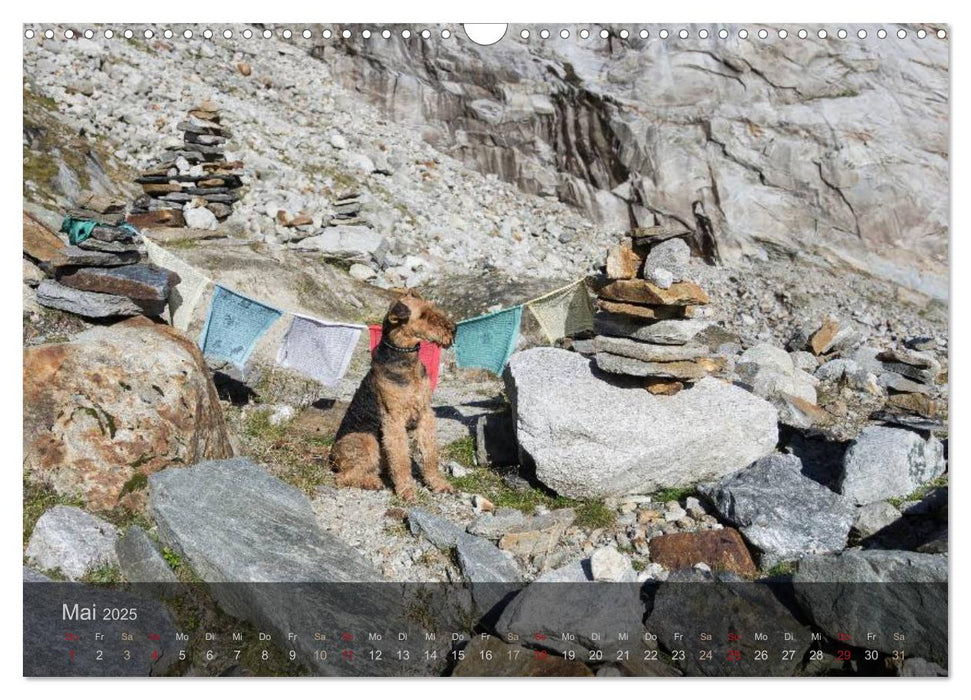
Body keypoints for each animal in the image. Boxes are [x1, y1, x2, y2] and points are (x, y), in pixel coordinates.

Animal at [332, 292, 458, 500]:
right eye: (423, 315)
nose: (454, 329)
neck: (406, 361)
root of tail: (332, 455)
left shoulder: (425, 413)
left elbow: (430, 454)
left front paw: (439, 484)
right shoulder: (394, 420)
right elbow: (401, 459)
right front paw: (407, 490)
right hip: (368, 441)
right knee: (343, 477)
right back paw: (372, 483)